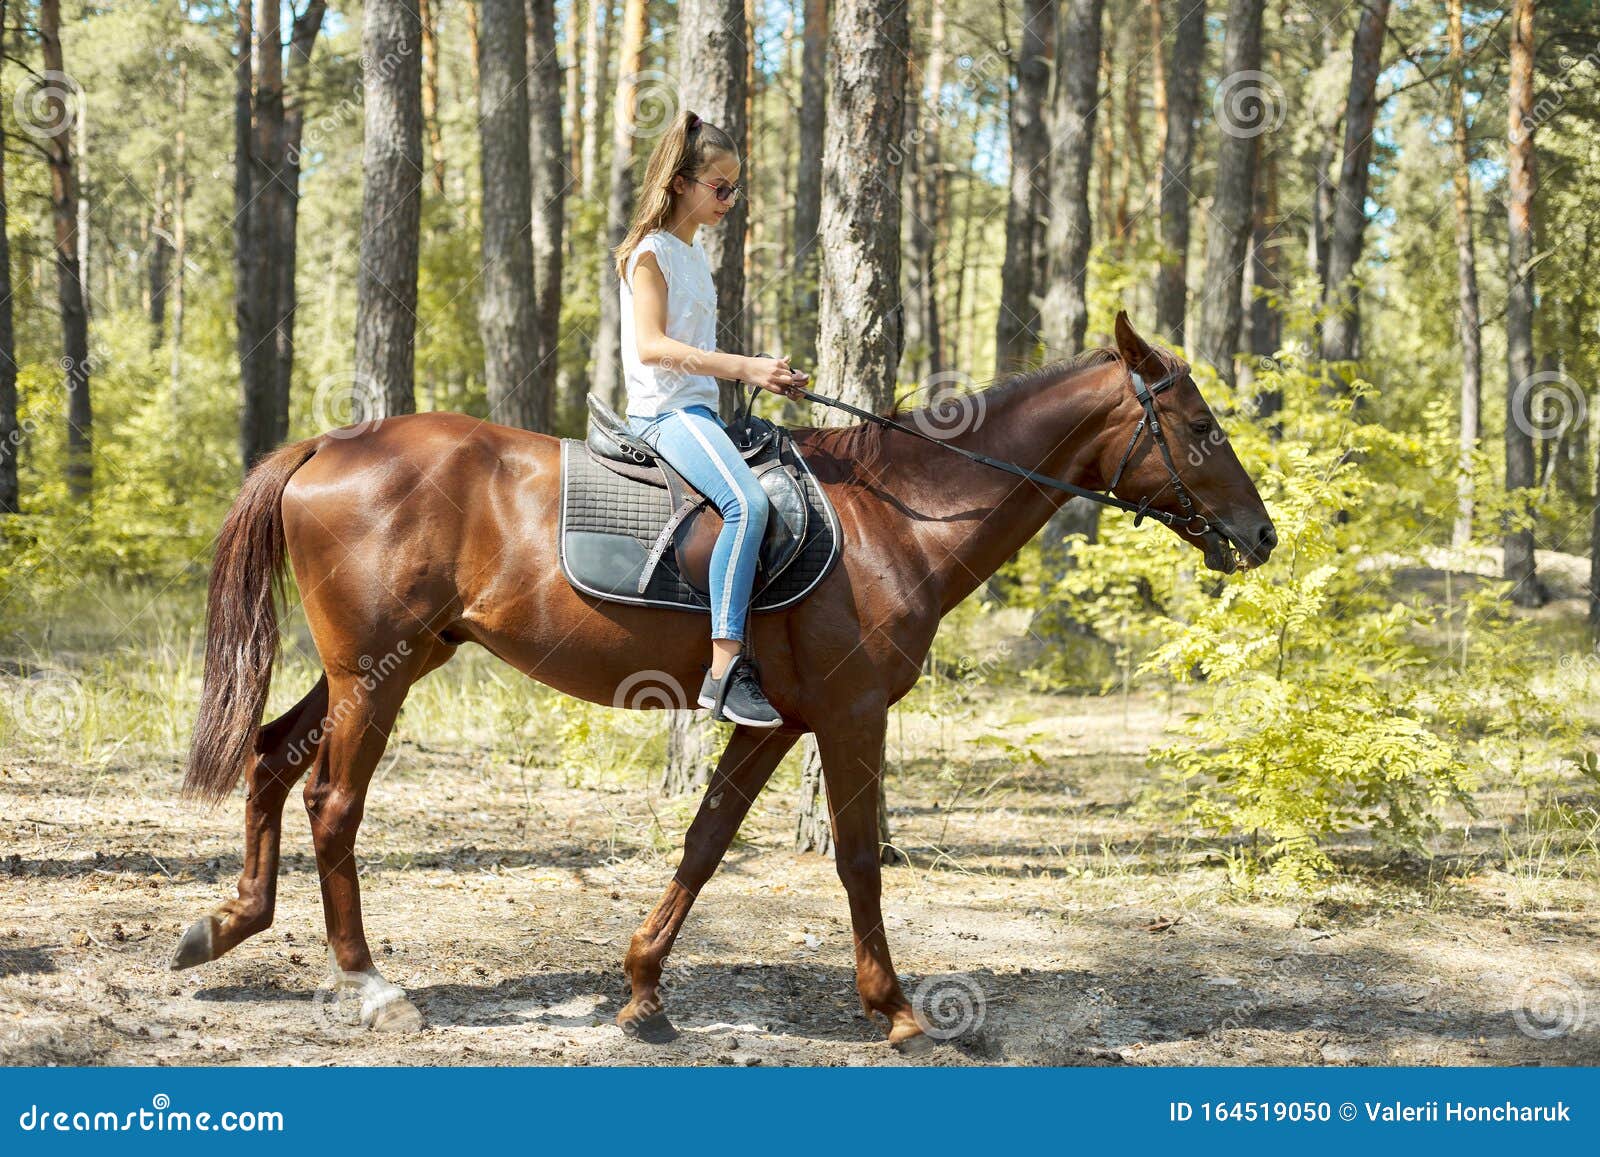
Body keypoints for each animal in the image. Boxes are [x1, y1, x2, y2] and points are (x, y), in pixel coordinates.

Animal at [172, 315, 1273, 1049]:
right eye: (1203, 427)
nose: (1261, 536)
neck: (897, 518)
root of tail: (332, 442)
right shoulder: (850, 717)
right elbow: (857, 862)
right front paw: (897, 1008)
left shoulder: (774, 722)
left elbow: (704, 843)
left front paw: (642, 990)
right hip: (378, 674)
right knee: (333, 803)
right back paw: (370, 985)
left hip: (387, 662)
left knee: (270, 760)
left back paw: (227, 924)